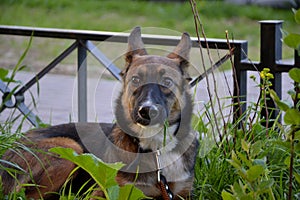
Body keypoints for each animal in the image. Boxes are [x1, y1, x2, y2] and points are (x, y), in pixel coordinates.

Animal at [0, 27, 199, 200]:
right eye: (135, 79)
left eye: (167, 82)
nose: (147, 111)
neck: (156, 148)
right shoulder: (107, 192)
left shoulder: (183, 193)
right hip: (70, 147)